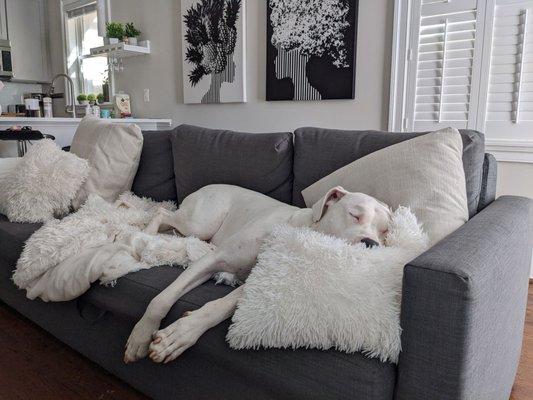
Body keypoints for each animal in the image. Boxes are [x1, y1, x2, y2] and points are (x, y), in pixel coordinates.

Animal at [123, 184, 390, 362]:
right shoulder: (213, 259)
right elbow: (162, 299)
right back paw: (145, 233)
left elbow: (221, 306)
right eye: (354, 214)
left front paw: (181, 334)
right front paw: (141, 334)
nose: (371, 243)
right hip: (200, 223)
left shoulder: (261, 279)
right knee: (162, 212)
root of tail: (206, 186)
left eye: (385, 231)